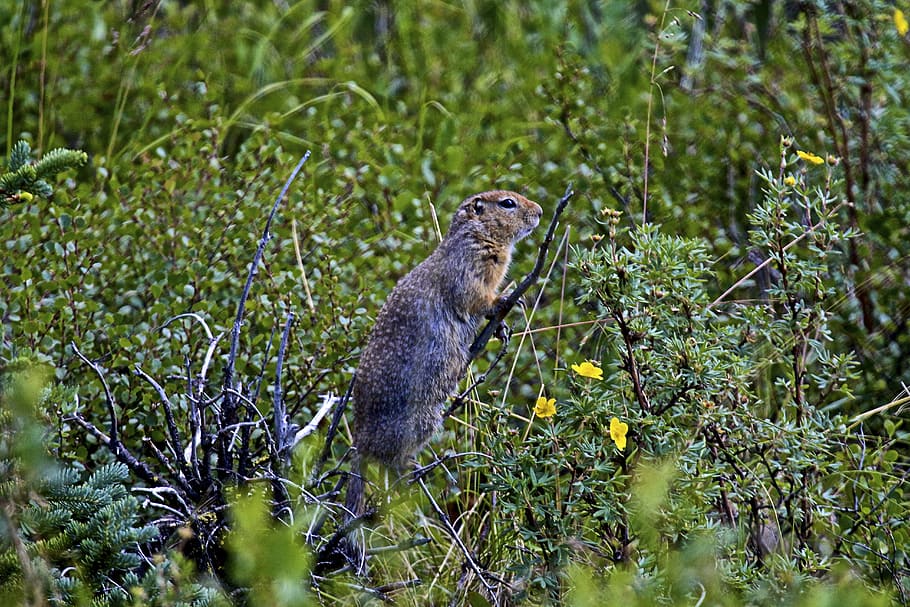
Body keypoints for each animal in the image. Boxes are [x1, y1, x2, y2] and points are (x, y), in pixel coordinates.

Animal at [342, 190, 542, 572]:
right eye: (508, 203)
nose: (539, 211)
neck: (478, 235)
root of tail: (359, 440)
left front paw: (503, 328)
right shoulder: (470, 266)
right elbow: (474, 296)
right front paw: (505, 300)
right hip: (418, 420)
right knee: (390, 460)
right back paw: (410, 470)